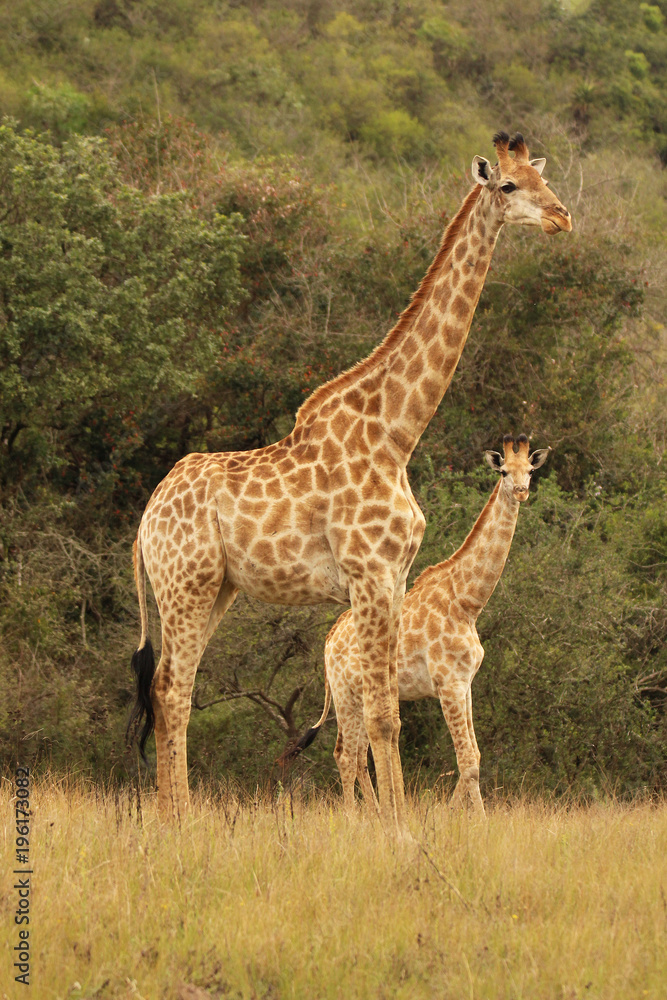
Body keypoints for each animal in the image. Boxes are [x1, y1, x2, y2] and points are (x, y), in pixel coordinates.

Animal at [284, 435, 549, 817]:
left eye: (530, 470)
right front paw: (479, 822)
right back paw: (354, 817)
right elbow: (467, 760)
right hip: (345, 695)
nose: (520, 491)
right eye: (502, 471)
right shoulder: (449, 683)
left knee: (359, 755)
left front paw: (450, 814)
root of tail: (329, 641)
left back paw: (376, 814)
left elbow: (474, 757)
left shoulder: (466, 684)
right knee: (345, 755)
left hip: (360, 695)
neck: (467, 601)